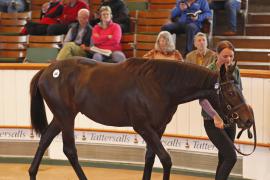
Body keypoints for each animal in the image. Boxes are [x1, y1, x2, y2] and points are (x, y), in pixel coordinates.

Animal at [28, 57, 254, 180]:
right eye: (231, 92)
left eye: (240, 89)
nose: (248, 120)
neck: (159, 85)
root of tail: (47, 70)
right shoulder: (142, 127)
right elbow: (166, 159)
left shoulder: (158, 128)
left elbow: (150, 158)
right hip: (66, 117)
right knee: (70, 150)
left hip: (60, 117)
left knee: (44, 140)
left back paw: (32, 173)